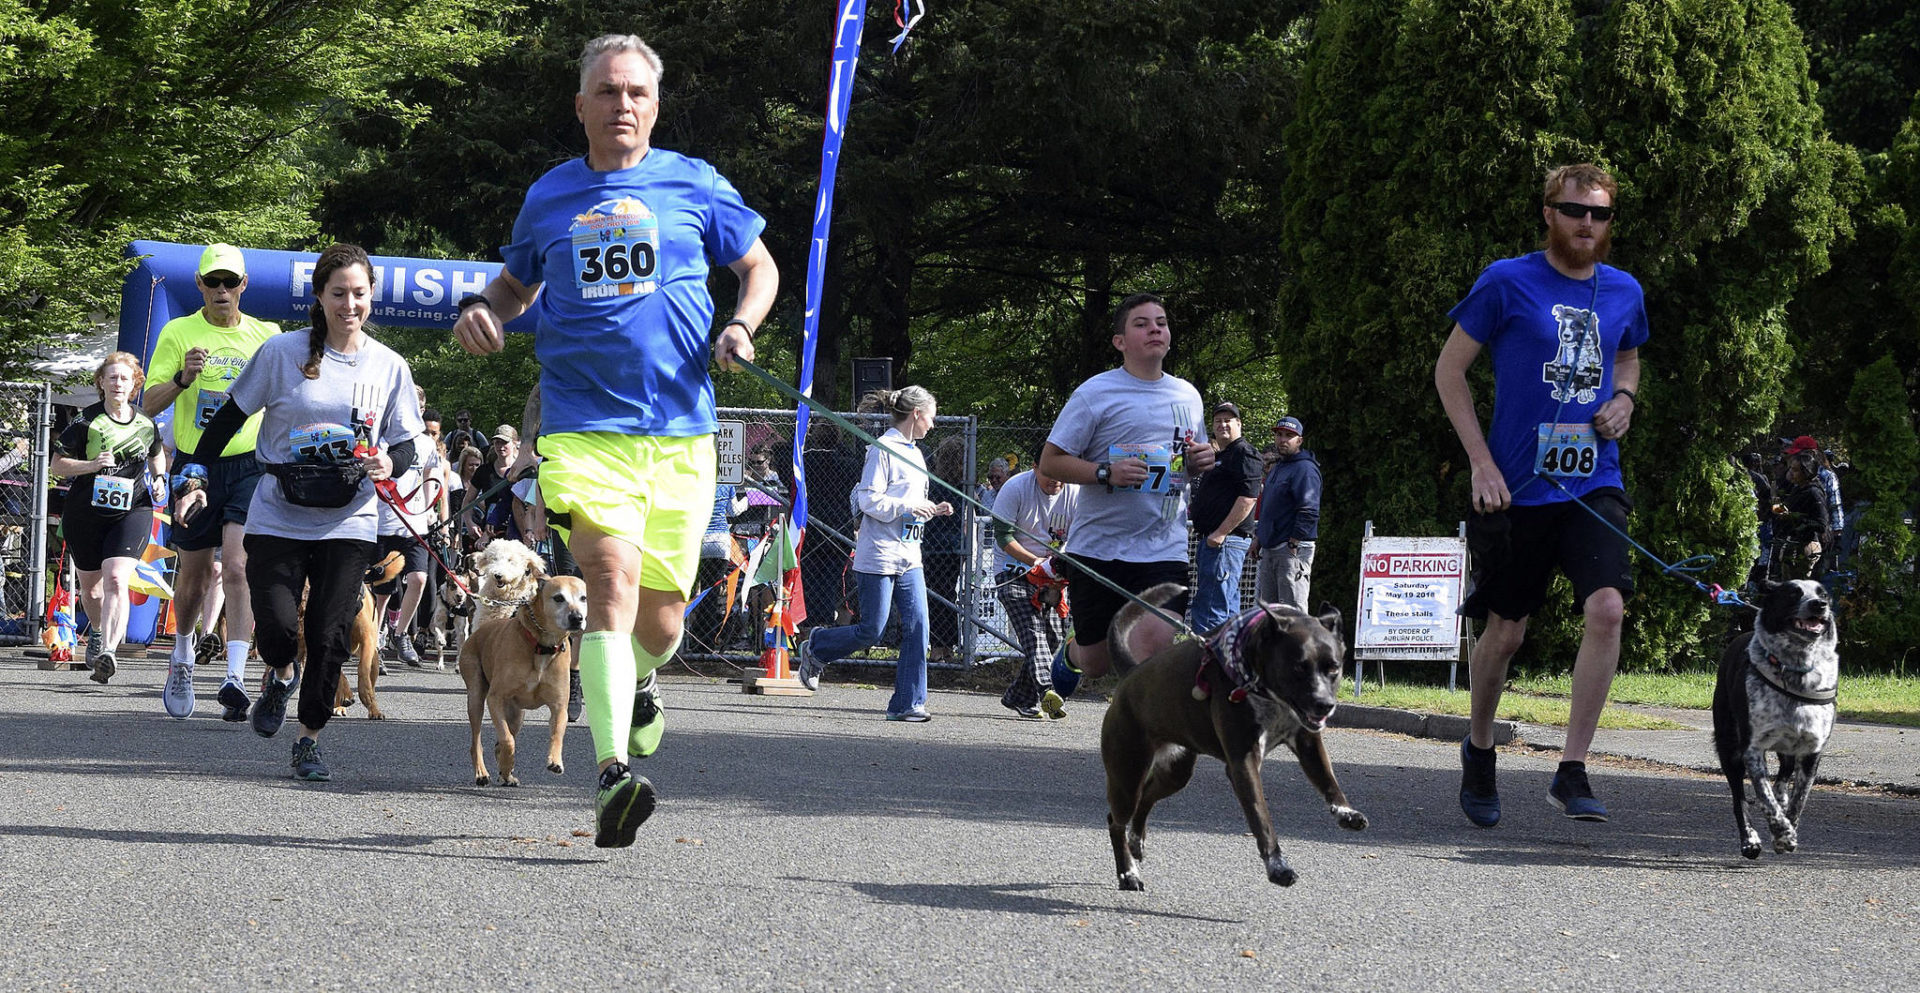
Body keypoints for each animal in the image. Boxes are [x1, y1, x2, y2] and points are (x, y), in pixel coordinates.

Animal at [460, 572, 587, 783]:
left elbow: (557, 733)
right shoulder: (495, 699)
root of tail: (481, 630)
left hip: (516, 715)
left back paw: (506, 774)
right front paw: (507, 762)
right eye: (558, 598)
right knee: (477, 741)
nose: (577, 618)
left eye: (583, 598)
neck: (542, 646)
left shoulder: (559, 706)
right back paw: (482, 773)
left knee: (499, 743)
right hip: (476, 697)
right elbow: (507, 740)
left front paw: (555, 761)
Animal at [1098, 580, 1367, 891]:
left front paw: (1346, 811)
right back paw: (1128, 872)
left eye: (1333, 667)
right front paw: (1278, 867)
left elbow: (1328, 779)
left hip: (1176, 771)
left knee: (1147, 798)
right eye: (1298, 667)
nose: (1325, 704)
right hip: (1127, 773)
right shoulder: (1243, 763)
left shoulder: (1308, 742)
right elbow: (1261, 818)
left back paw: (1136, 841)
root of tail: (1132, 674)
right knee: (1116, 820)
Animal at [1720, 580, 1835, 860]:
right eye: (1793, 594)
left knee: (1785, 769)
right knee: (1739, 797)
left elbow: (1799, 799)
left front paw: (1789, 826)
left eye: (1824, 594)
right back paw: (1749, 840)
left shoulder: (1812, 750)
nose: (1819, 605)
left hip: (1788, 746)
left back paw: (1781, 795)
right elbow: (1764, 798)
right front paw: (1782, 834)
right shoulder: (1752, 750)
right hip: (1729, 747)